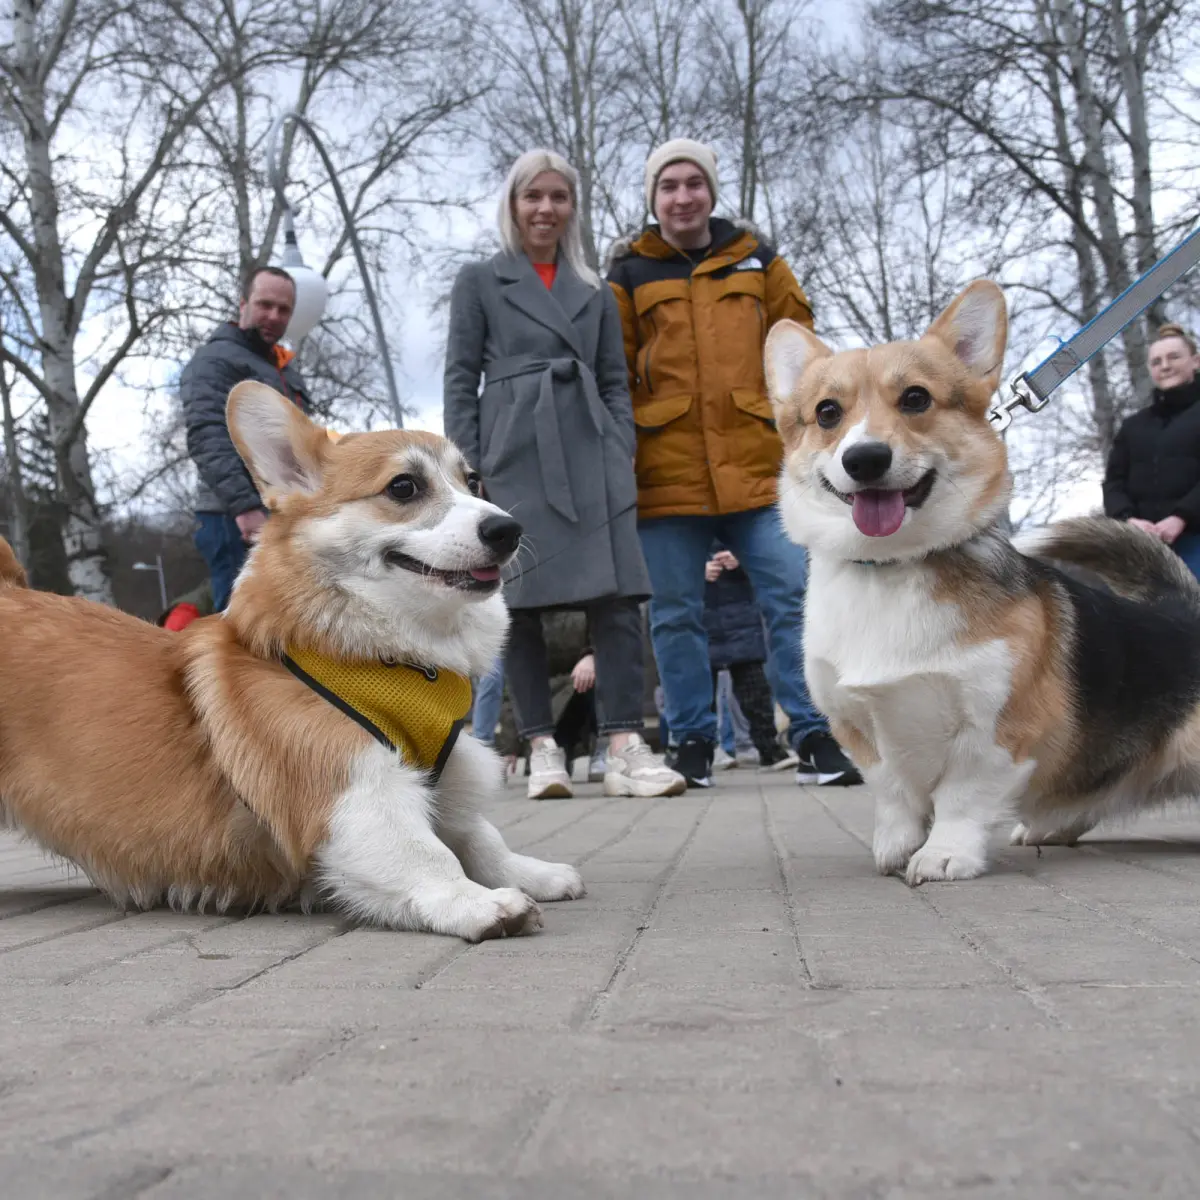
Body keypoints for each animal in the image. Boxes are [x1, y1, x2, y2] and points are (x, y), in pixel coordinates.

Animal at [0, 384, 585, 936]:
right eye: (404, 486)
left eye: (473, 481)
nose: (507, 530)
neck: (389, 657)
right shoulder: (354, 796)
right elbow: (427, 853)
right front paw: (480, 904)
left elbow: (480, 836)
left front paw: (533, 874)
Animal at [763, 280, 1200, 883]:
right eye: (827, 412)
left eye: (916, 398)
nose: (865, 458)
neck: (892, 568)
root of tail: (1183, 609)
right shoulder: (857, 729)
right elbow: (893, 792)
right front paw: (897, 846)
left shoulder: (998, 728)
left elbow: (961, 797)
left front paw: (944, 854)